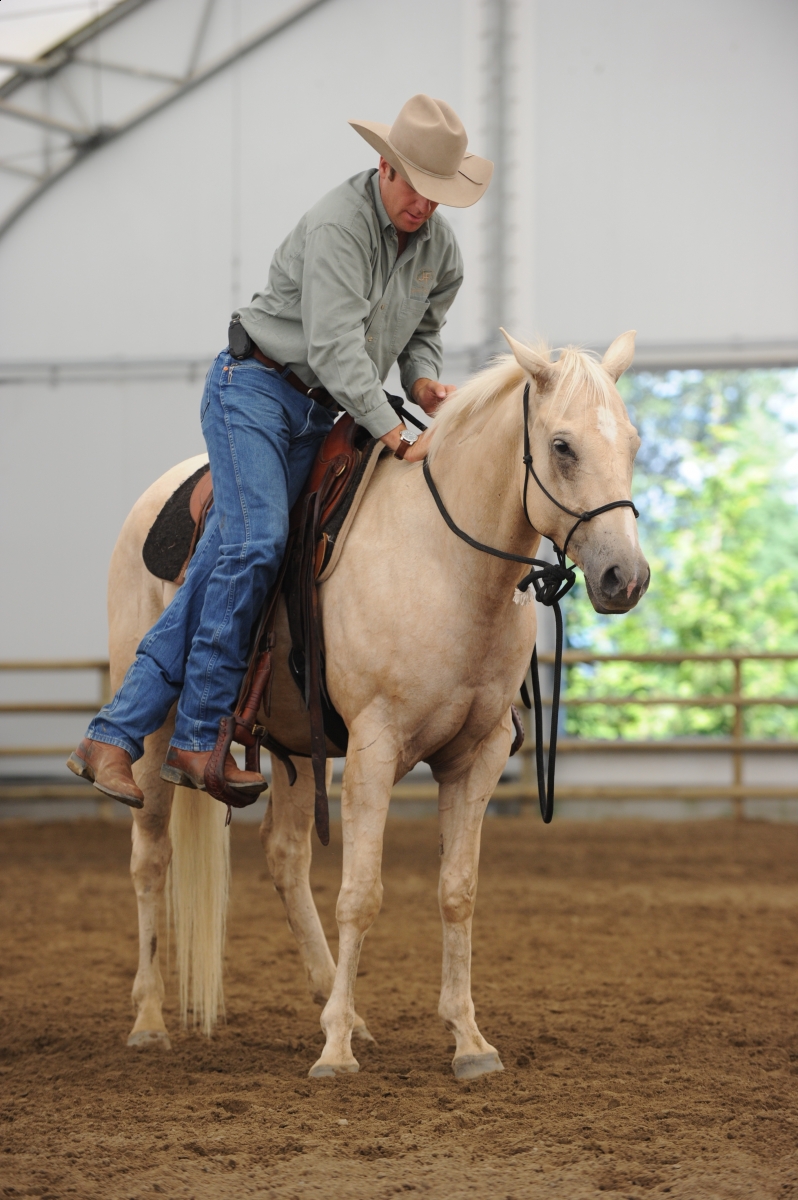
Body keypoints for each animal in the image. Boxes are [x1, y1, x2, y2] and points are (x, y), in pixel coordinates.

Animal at [113, 330, 649, 1080]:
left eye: (631, 442)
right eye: (563, 446)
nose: (625, 577)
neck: (446, 563)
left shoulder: (477, 755)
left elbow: (457, 892)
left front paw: (467, 1040)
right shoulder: (374, 746)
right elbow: (361, 895)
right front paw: (334, 1053)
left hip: (295, 745)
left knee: (284, 858)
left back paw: (341, 1009)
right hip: (159, 733)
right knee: (150, 858)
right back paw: (150, 1020)